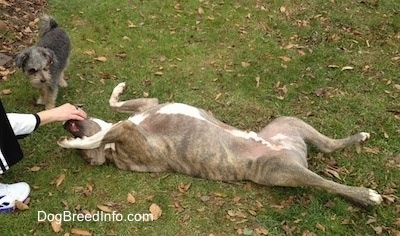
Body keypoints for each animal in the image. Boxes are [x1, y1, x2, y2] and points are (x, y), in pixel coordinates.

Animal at [57, 82, 382, 206]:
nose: (64, 123)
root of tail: (292, 152)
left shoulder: (147, 106)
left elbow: (115, 106)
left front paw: (117, 90)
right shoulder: (127, 134)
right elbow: (103, 135)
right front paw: (74, 144)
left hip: (291, 123)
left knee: (329, 147)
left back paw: (360, 138)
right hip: (283, 169)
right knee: (325, 182)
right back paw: (366, 195)